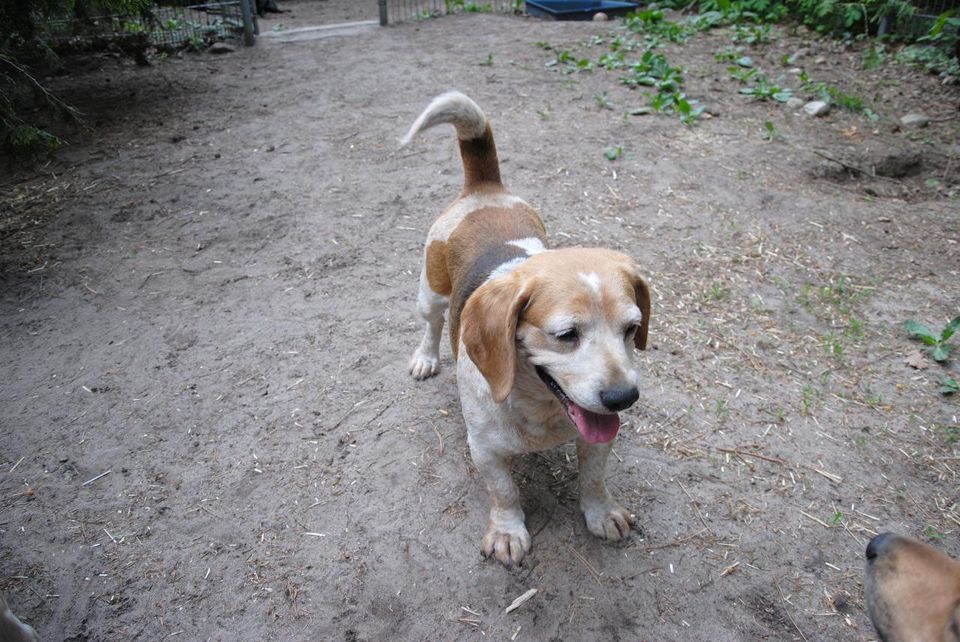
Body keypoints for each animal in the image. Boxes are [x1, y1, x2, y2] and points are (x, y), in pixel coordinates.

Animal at [398, 92, 652, 564]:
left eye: (631, 329)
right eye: (566, 335)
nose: (623, 398)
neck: (541, 409)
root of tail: (485, 189)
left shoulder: (596, 440)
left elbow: (593, 479)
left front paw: (601, 513)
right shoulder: (485, 451)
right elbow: (504, 493)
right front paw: (507, 531)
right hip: (429, 293)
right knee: (433, 323)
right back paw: (425, 357)